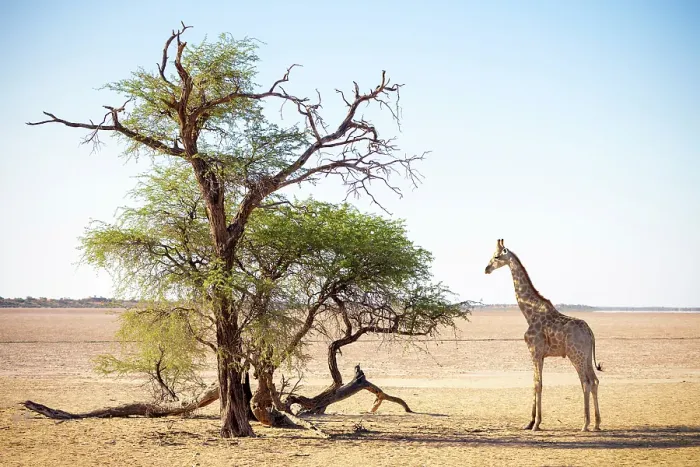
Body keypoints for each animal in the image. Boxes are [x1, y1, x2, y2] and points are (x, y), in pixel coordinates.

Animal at [484, 239, 601, 431]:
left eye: (496, 256)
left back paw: (585, 424)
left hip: (575, 355)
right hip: (585, 356)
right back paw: (597, 424)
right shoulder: (540, 355)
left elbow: (538, 384)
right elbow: (535, 383)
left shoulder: (535, 351)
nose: (486, 269)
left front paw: (536, 423)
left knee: (585, 382)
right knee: (594, 381)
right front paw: (530, 422)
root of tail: (591, 332)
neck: (529, 313)